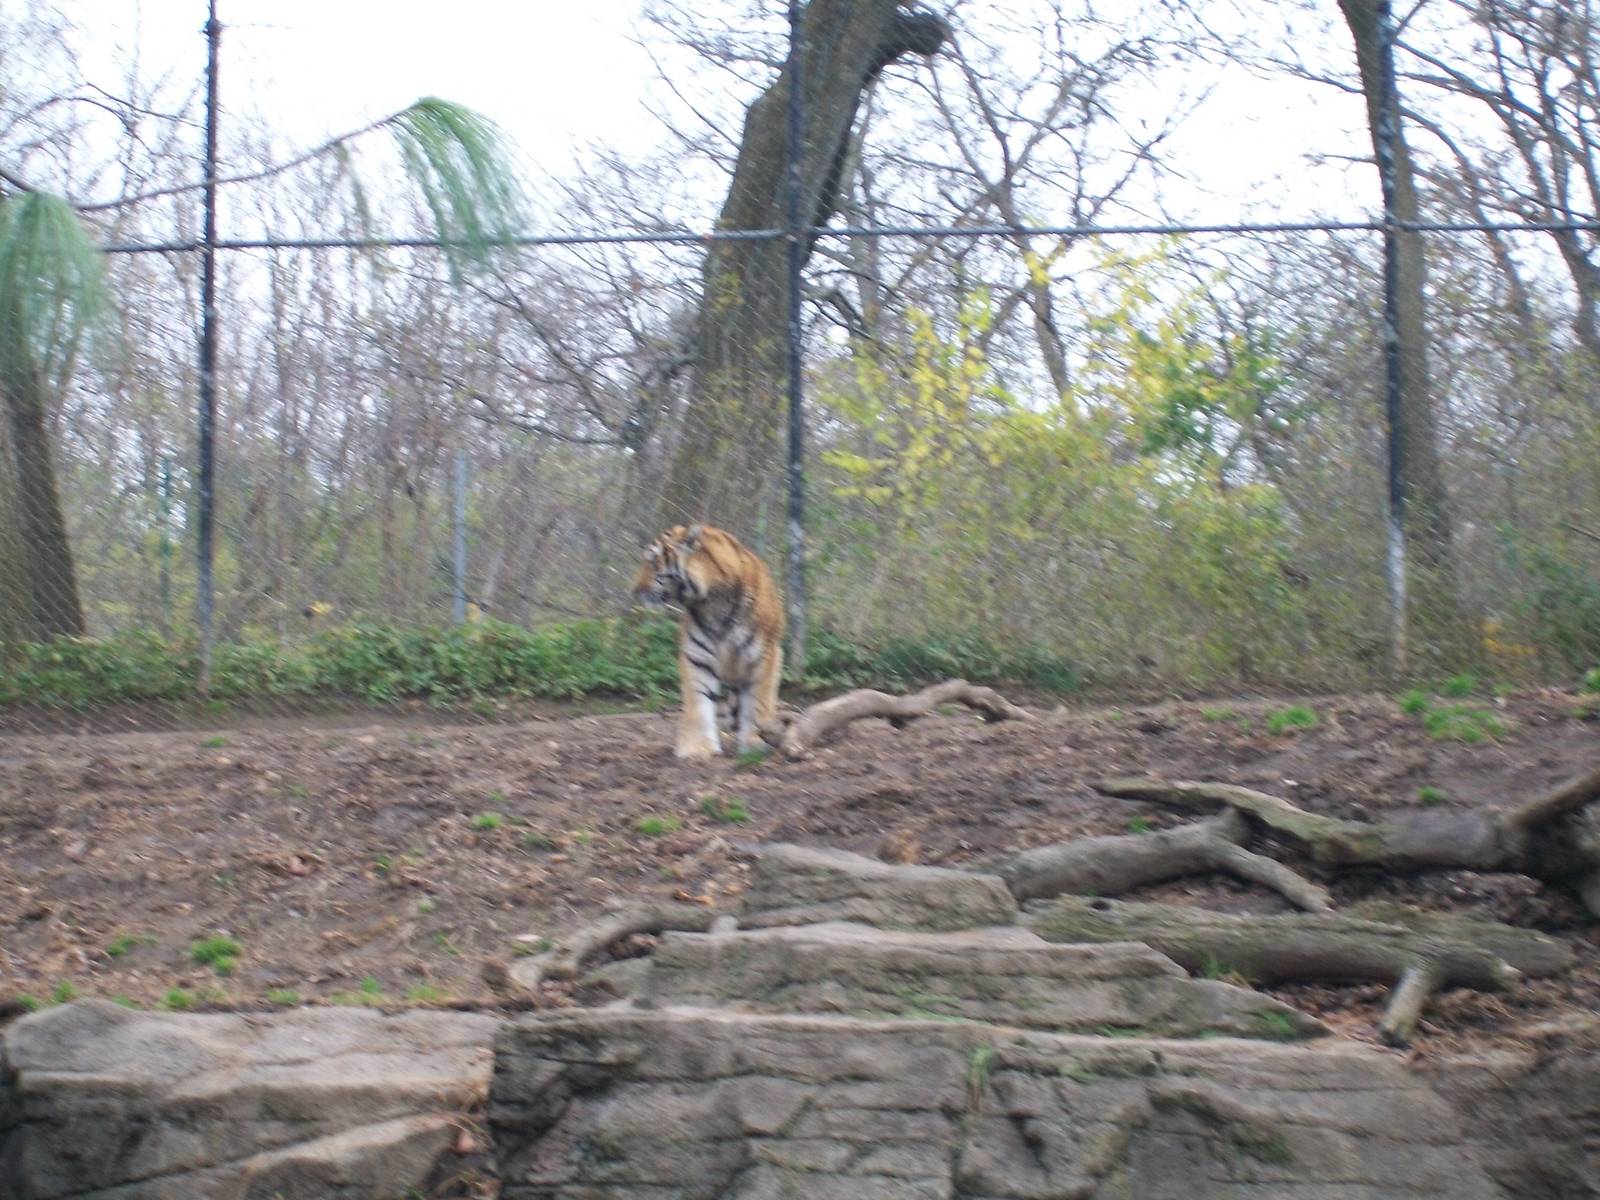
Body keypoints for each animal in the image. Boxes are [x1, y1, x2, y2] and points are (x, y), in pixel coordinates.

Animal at [631, 523, 783, 759]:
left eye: (653, 562)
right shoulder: (697, 656)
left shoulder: (764, 655)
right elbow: (698, 701)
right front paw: (697, 748)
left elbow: (757, 700)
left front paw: (754, 741)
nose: (635, 591)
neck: (713, 600)